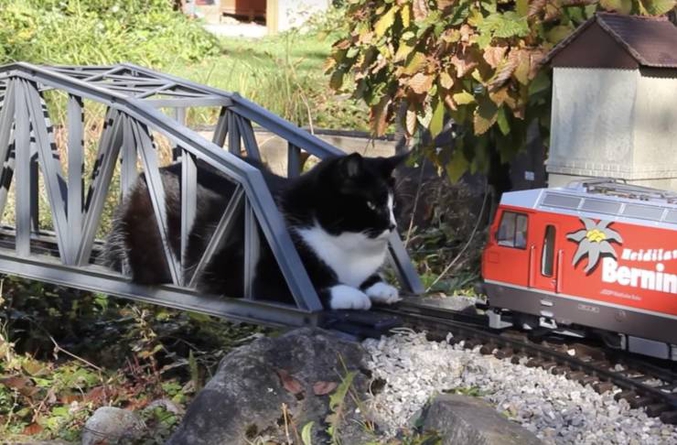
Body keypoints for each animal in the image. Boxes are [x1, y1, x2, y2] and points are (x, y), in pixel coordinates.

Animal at [103, 152, 404, 308]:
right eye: (371, 204)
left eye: (393, 204)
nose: (392, 225)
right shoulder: (251, 277)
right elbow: (317, 290)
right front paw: (354, 296)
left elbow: (370, 279)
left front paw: (382, 289)